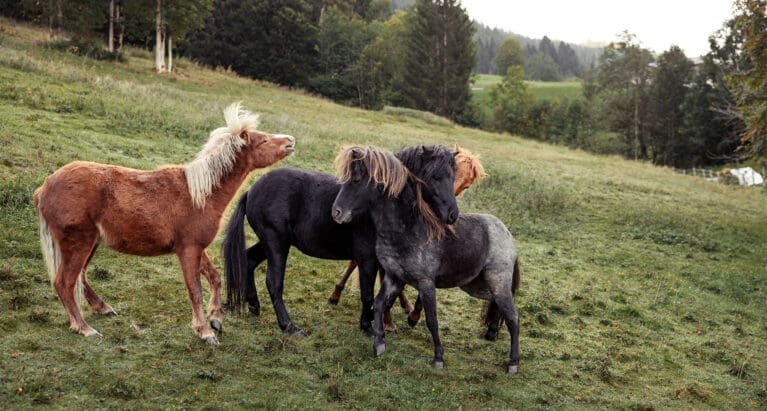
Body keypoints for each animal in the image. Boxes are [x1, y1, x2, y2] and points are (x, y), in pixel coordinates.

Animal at [34, 104, 296, 344]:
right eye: (263, 140)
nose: (290, 141)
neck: (200, 194)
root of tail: (45, 187)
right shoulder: (188, 250)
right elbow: (195, 290)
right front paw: (205, 332)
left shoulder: (197, 248)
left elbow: (215, 278)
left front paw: (216, 320)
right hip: (79, 243)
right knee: (65, 283)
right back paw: (84, 327)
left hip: (90, 244)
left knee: (80, 277)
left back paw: (103, 308)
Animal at [225, 146, 460, 336]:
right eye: (436, 176)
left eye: (453, 177)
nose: (452, 215)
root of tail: (252, 190)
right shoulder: (367, 260)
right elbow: (368, 294)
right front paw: (368, 327)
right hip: (277, 245)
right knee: (274, 283)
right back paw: (289, 326)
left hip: (272, 243)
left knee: (248, 260)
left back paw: (254, 305)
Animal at [332, 146, 520, 376]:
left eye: (357, 180)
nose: (337, 212)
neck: (408, 228)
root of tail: (507, 233)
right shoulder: (394, 278)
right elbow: (378, 304)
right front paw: (379, 344)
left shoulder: (426, 283)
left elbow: (431, 319)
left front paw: (438, 358)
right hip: (479, 287)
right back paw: (493, 334)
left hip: (498, 284)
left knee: (513, 318)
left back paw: (513, 363)